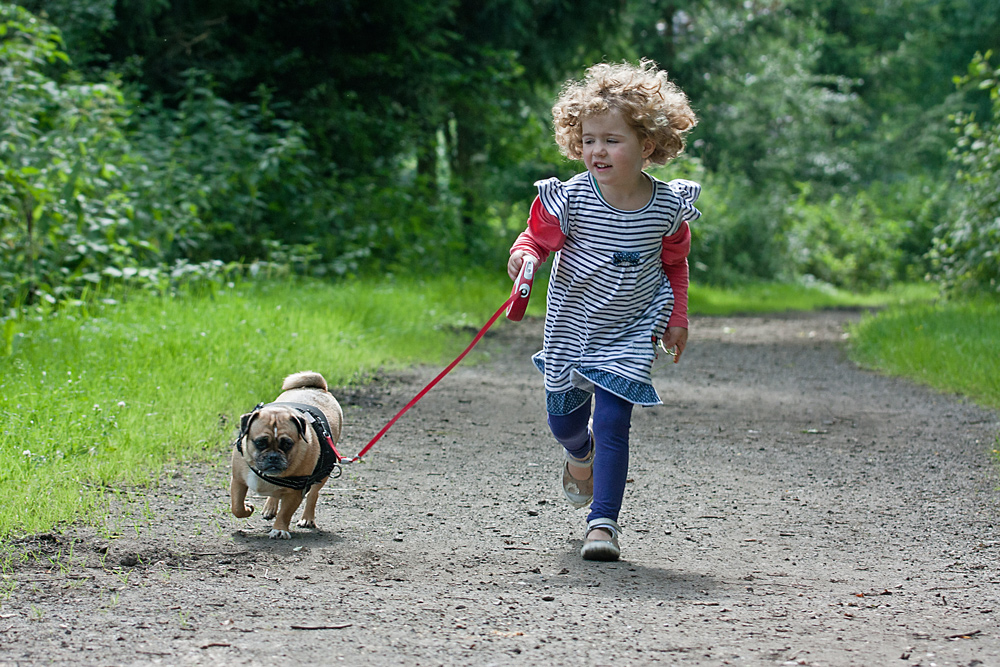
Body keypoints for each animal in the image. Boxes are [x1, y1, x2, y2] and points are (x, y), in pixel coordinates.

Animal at [230, 374, 344, 540]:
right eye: (260, 443)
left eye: (287, 444)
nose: (273, 457)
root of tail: (319, 388)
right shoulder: (238, 480)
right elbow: (237, 507)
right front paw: (248, 508)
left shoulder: (295, 492)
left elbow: (285, 513)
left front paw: (279, 530)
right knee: (275, 495)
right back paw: (270, 507)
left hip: (323, 473)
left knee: (313, 495)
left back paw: (307, 518)